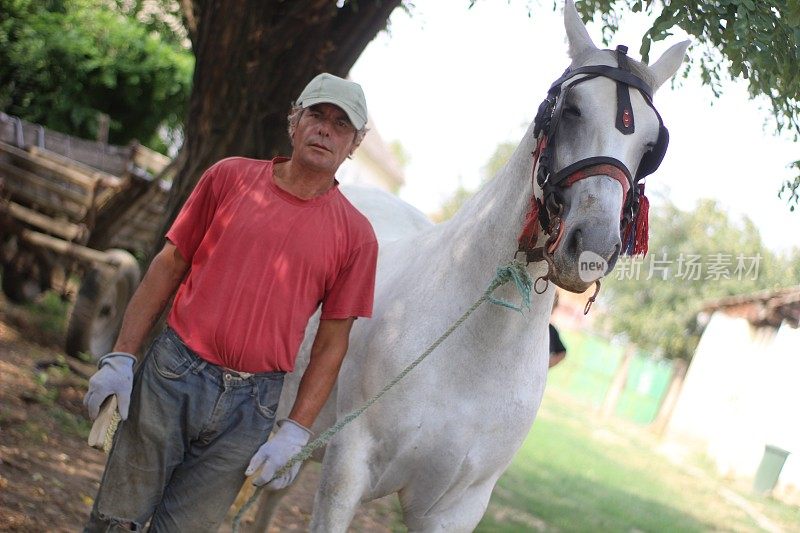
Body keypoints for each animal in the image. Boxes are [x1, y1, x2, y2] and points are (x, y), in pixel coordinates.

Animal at [255, 2, 688, 528]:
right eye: (571, 109)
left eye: (651, 145)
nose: (593, 246)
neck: (475, 355)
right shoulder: (347, 470)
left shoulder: (456, 508)